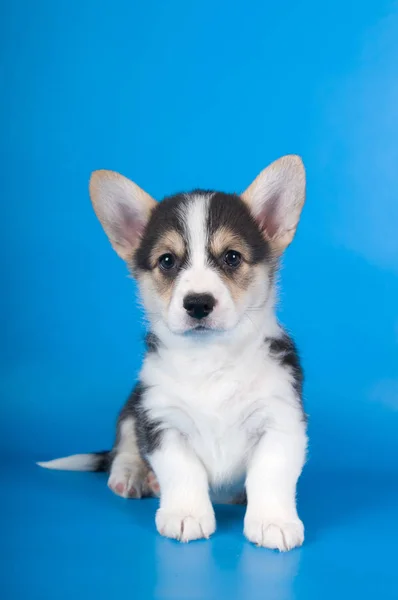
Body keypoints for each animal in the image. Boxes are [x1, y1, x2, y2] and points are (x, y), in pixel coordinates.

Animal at [38, 156, 306, 552]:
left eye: (232, 257)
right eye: (167, 260)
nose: (197, 304)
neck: (211, 359)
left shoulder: (280, 419)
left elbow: (269, 473)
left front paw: (273, 522)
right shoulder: (161, 421)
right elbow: (183, 471)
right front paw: (186, 515)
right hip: (133, 404)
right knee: (123, 446)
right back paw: (133, 475)